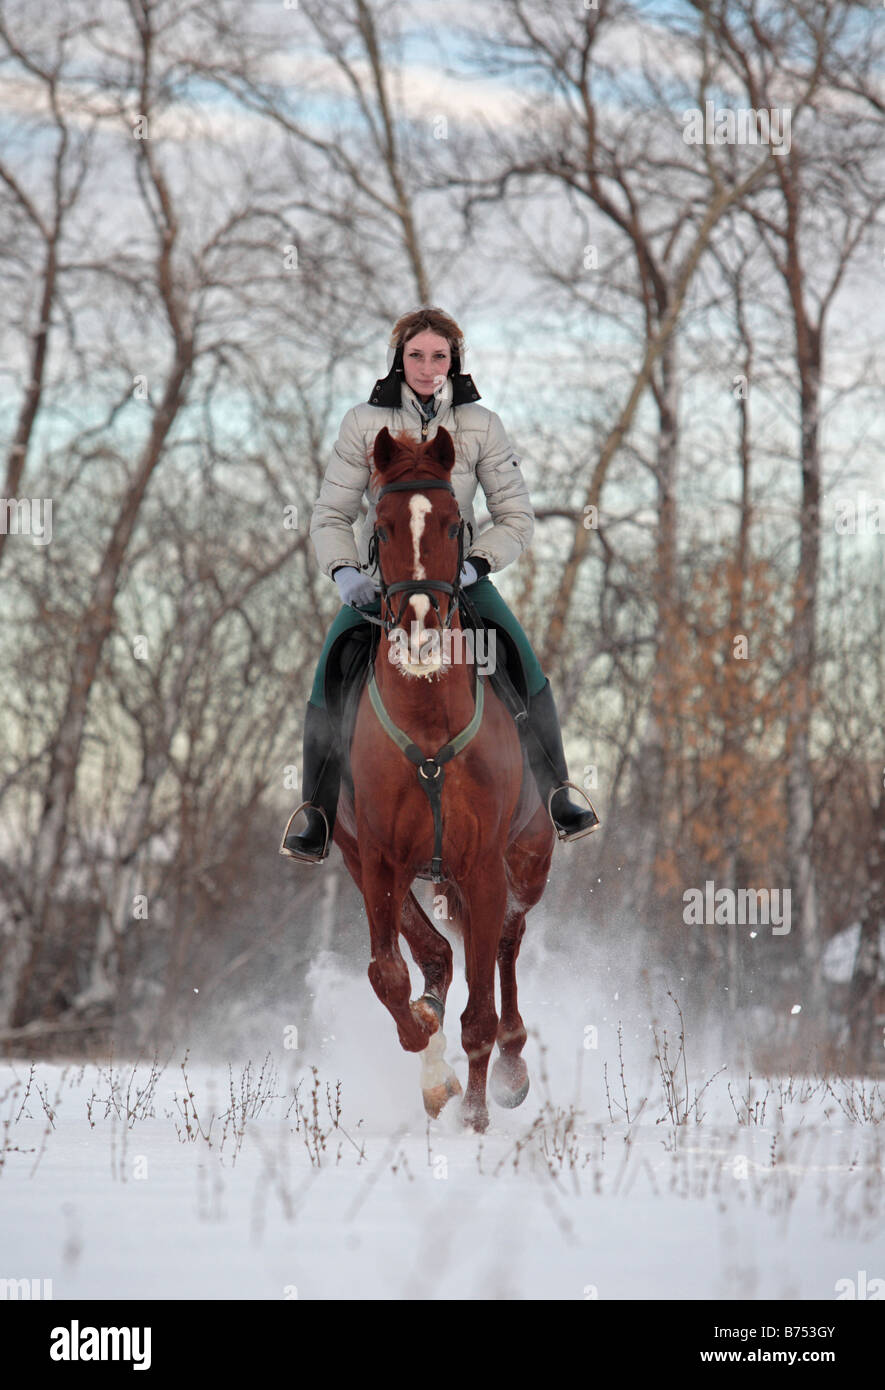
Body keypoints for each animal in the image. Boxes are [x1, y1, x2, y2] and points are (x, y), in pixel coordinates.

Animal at [329, 422, 552, 1128]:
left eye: (456, 524)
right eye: (383, 526)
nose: (422, 630)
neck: (427, 723)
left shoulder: (482, 865)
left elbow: (479, 1012)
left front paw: (477, 1116)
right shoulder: (377, 862)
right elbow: (391, 975)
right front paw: (434, 1073)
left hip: (525, 864)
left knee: (506, 942)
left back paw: (511, 1067)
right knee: (438, 955)